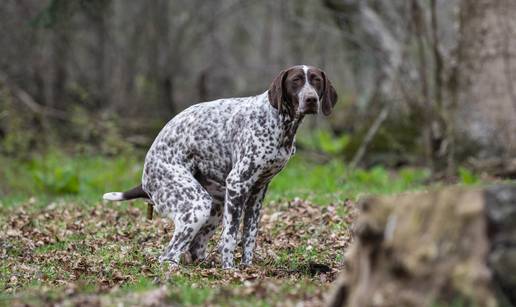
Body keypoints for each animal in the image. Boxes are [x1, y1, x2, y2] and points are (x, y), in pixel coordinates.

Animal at [104, 65, 338, 270]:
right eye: (295, 81)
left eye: (316, 80)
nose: (311, 99)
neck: (280, 122)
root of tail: (145, 177)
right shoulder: (238, 184)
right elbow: (230, 236)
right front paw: (229, 271)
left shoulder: (258, 192)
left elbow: (249, 236)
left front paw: (247, 268)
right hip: (197, 205)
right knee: (168, 255)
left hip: (215, 207)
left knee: (194, 248)